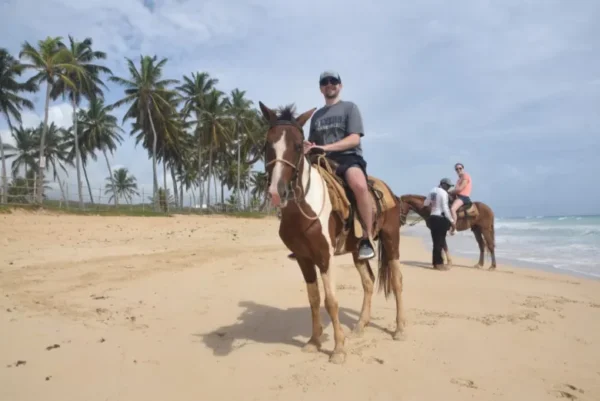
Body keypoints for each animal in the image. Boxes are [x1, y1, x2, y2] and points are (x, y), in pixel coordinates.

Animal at [258, 102, 406, 362]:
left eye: (298, 145)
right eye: (267, 144)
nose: (277, 191)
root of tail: (390, 192)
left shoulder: (324, 256)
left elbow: (331, 301)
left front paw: (338, 349)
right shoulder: (304, 258)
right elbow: (314, 299)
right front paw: (313, 341)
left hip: (391, 240)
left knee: (396, 281)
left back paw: (399, 329)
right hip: (358, 251)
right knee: (369, 282)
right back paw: (360, 326)